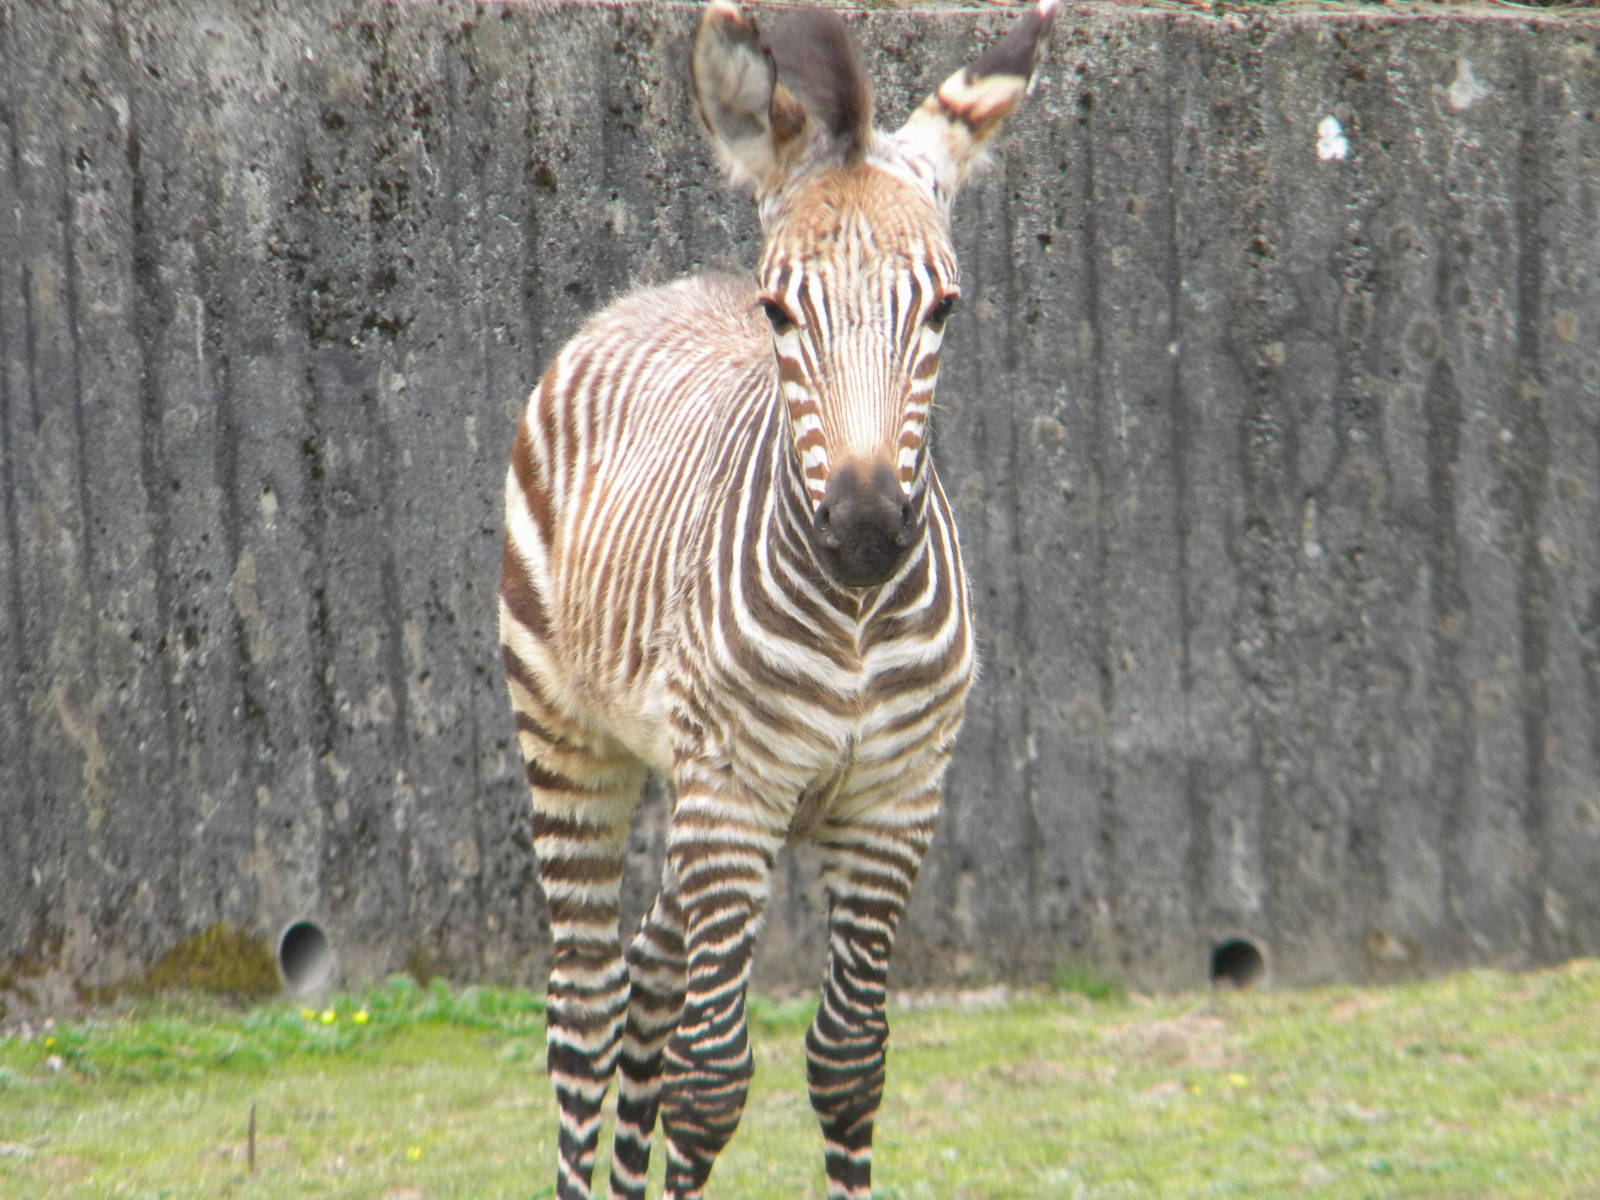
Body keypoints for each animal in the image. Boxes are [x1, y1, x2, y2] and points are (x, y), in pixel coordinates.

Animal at [498, 2, 1057, 1196]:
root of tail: (653, 291)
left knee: (650, 984)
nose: (865, 536)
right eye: (779, 312)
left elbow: (848, 1062)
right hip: (573, 741)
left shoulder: (897, 799)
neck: (853, 621)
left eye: (943, 309)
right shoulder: (736, 797)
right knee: (586, 1007)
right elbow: (712, 1080)